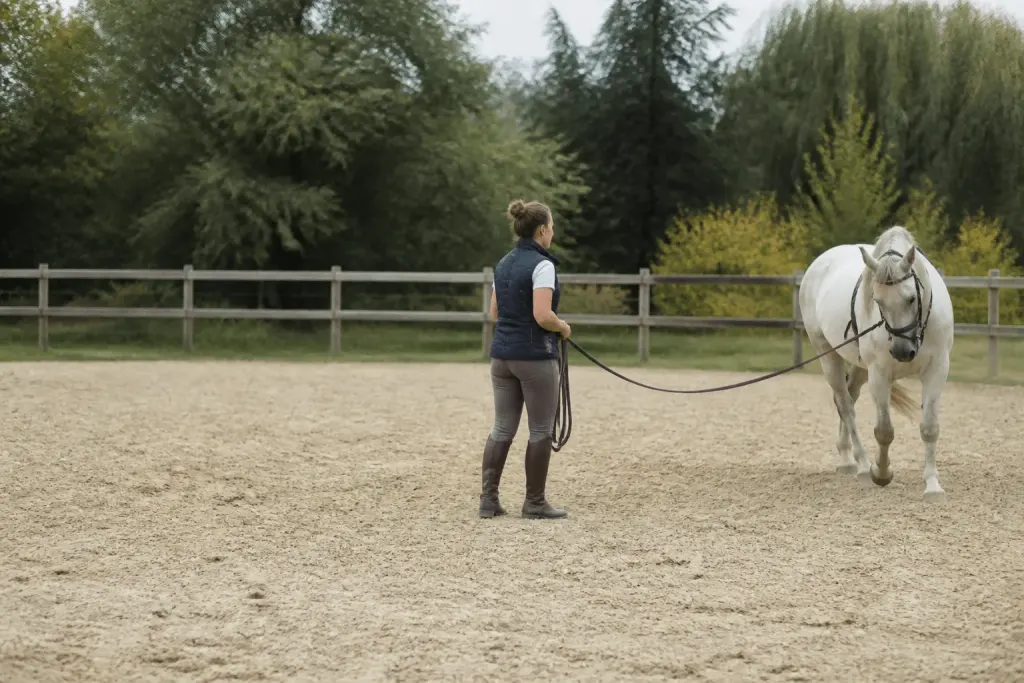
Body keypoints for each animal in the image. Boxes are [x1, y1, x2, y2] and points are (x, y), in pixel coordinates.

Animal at [798, 226, 954, 502]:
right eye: (877, 301)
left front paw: (933, 486)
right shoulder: (879, 374)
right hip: (828, 355)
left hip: (859, 367)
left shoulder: (937, 370)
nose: (902, 351)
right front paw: (881, 473)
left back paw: (847, 458)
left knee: (848, 397)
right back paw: (860, 464)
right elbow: (884, 431)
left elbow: (929, 427)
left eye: (911, 298)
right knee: (845, 405)